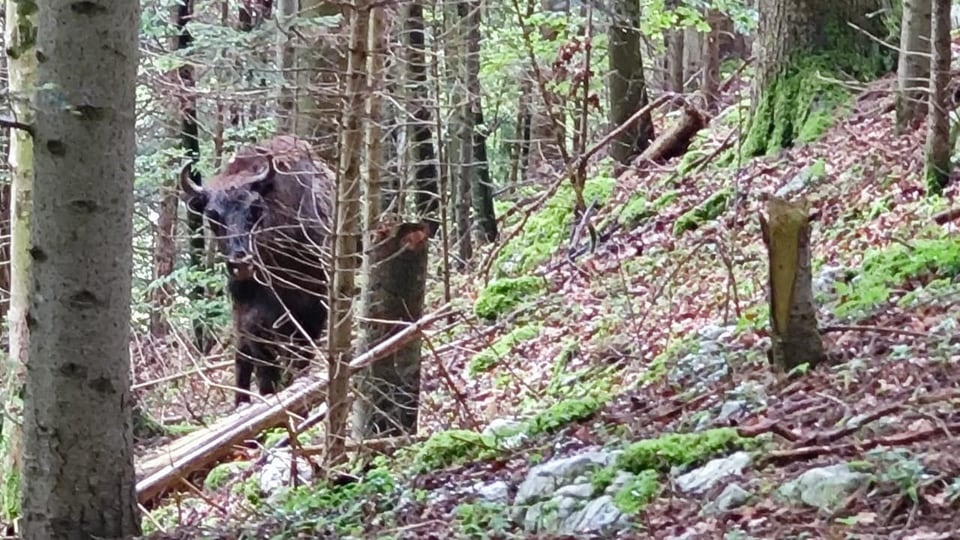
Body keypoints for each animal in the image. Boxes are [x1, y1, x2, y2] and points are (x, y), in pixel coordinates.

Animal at [180, 135, 334, 404]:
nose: (240, 261)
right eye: (213, 216)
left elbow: (298, 362)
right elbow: (265, 372)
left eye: (255, 208)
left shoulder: (312, 313)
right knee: (242, 361)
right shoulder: (253, 322)